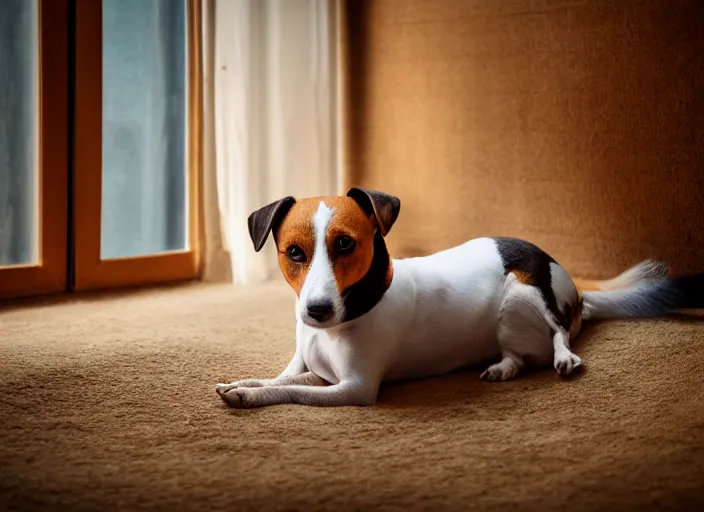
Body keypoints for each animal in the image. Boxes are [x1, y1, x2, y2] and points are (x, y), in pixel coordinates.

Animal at [217, 188, 700, 408]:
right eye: (294, 253)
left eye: (345, 245)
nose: (316, 311)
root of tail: (579, 295)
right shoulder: (310, 367)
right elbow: (279, 379)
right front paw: (242, 385)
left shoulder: (355, 388)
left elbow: (293, 392)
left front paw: (248, 398)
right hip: (510, 318)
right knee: (522, 355)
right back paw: (504, 367)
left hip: (523, 291)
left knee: (558, 334)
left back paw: (564, 357)